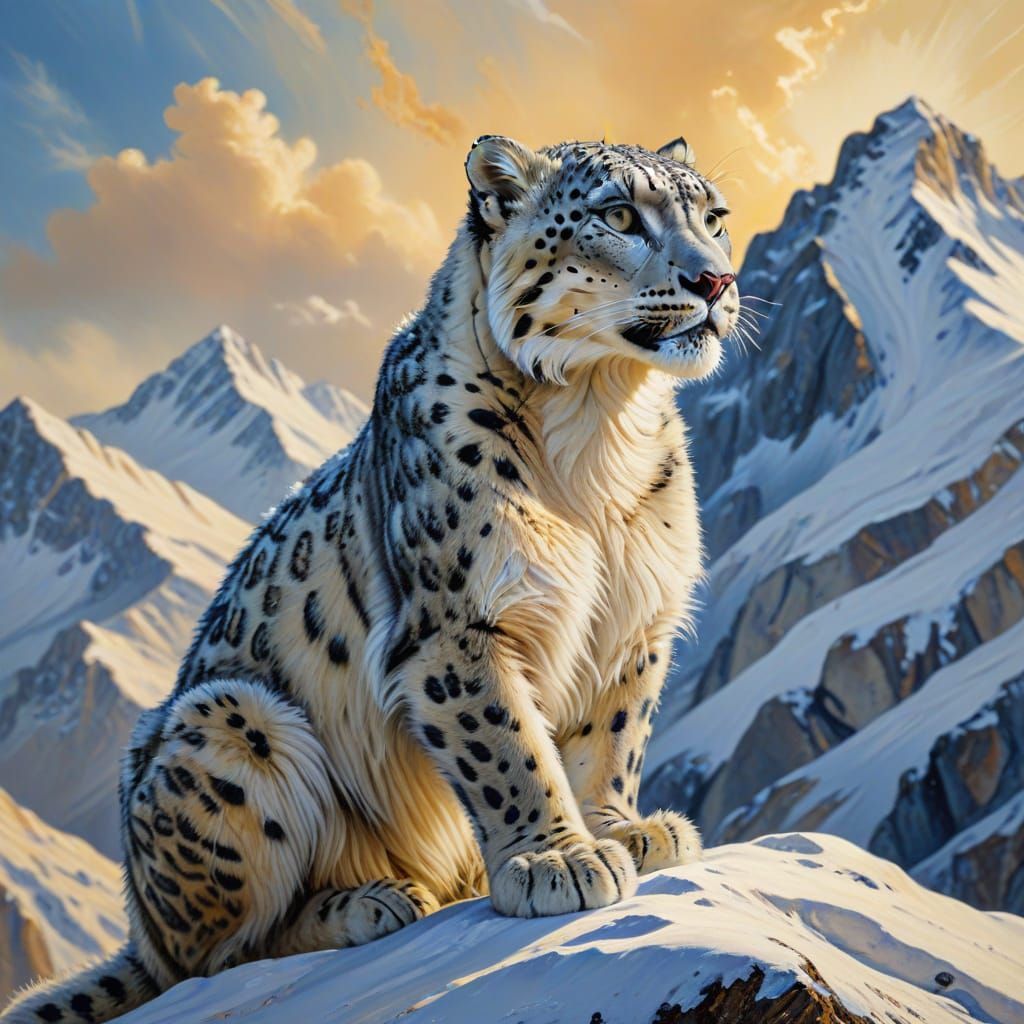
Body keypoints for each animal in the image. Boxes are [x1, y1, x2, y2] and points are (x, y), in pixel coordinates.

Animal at [3, 133, 738, 1023]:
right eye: (620, 216)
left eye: (713, 216)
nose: (717, 281)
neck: (600, 427)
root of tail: (140, 922)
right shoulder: (456, 627)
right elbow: (507, 747)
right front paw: (555, 862)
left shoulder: (633, 621)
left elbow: (612, 736)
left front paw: (623, 831)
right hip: (229, 722)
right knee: (212, 958)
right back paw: (371, 901)